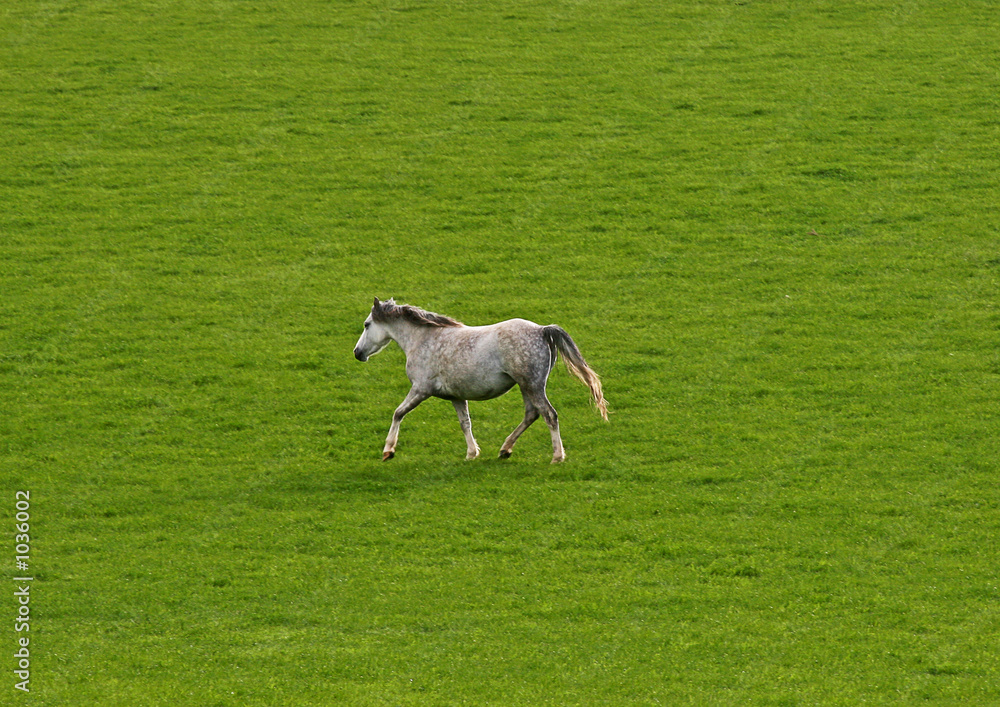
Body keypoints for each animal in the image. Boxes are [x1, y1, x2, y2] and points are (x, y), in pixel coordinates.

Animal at [353, 297, 608, 463]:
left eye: (367, 324)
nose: (357, 353)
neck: (422, 339)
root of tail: (542, 330)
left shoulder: (421, 389)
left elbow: (398, 413)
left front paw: (388, 450)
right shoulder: (455, 396)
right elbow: (465, 423)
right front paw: (471, 454)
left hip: (532, 385)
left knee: (549, 415)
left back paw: (557, 456)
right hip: (526, 386)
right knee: (531, 414)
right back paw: (505, 450)